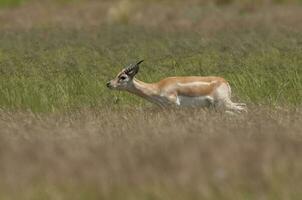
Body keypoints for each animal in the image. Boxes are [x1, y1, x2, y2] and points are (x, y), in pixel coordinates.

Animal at [106, 59, 245, 112]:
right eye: (117, 74)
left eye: (123, 77)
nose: (108, 84)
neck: (158, 87)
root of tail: (225, 81)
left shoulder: (175, 106)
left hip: (223, 104)